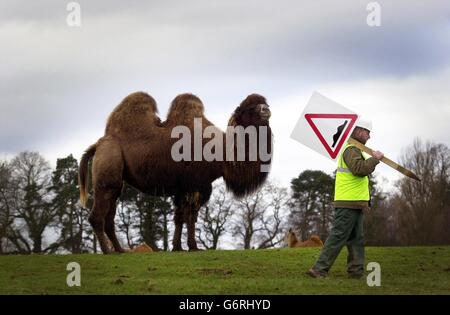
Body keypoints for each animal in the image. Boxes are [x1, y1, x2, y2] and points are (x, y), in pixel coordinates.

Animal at [79, 91, 272, 254]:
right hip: (108, 171)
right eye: (249, 108)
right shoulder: (195, 185)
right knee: (98, 214)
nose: (267, 110)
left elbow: (179, 217)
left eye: (264, 103)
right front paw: (194, 247)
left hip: (116, 182)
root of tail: (99, 143)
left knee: (109, 216)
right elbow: (190, 216)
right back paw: (107, 251)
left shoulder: (187, 188)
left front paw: (177, 247)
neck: (222, 153)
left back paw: (120, 250)